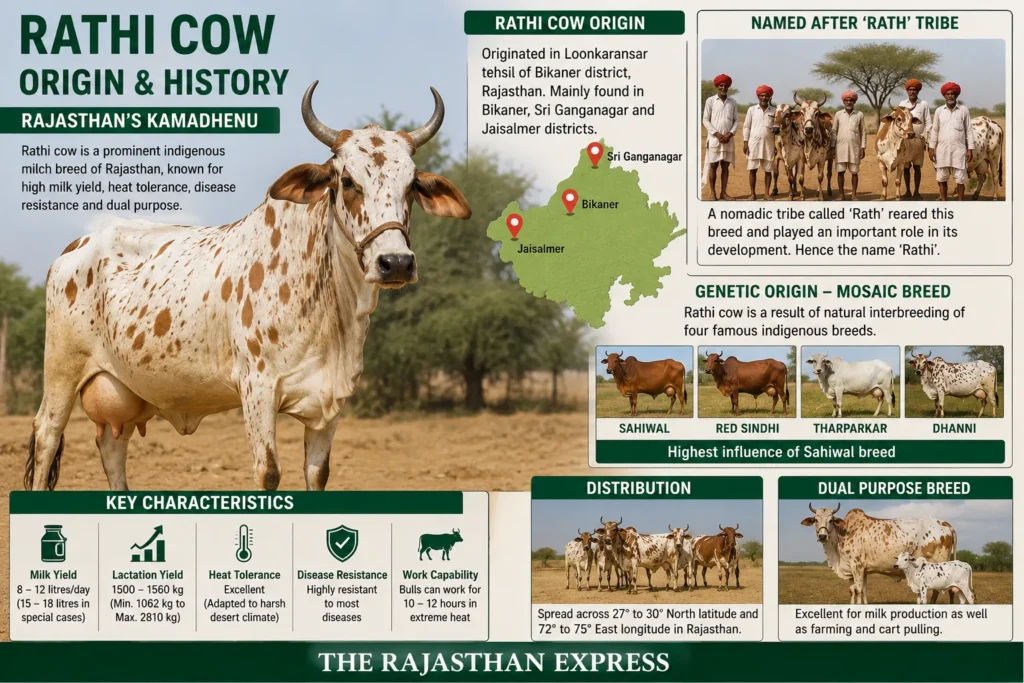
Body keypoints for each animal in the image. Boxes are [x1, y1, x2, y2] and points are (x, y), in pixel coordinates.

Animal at [24, 82, 472, 493]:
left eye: (412, 185)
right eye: (347, 181)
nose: (395, 262)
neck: (332, 312)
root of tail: (77, 246)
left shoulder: (329, 404)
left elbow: (317, 474)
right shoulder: (257, 389)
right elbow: (268, 473)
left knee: (112, 449)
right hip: (61, 372)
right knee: (46, 436)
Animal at [801, 503, 959, 604]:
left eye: (831, 520)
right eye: (816, 520)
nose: (822, 536)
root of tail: (945, 523)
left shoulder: (857, 566)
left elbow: (858, 590)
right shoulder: (857, 570)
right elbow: (857, 591)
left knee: (940, 590)